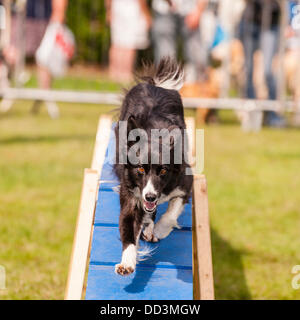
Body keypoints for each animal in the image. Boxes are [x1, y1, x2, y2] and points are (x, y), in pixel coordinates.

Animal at [113, 58, 193, 276]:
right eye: (140, 169)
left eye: (163, 170)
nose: (150, 196)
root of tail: (155, 84)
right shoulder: (131, 195)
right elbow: (128, 227)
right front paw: (127, 262)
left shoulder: (185, 184)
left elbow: (171, 212)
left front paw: (160, 229)